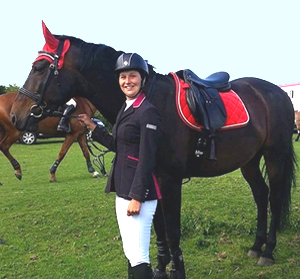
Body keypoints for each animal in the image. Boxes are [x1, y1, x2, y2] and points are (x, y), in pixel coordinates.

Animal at [9, 22, 296, 279]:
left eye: (39, 68)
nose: (14, 116)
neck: (152, 101)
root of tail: (277, 93)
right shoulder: (150, 178)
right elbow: (157, 227)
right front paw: (159, 267)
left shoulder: (170, 180)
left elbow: (172, 229)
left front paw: (177, 270)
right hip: (249, 160)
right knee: (261, 194)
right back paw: (256, 247)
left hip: (275, 155)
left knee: (274, 198)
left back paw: (267, 251)